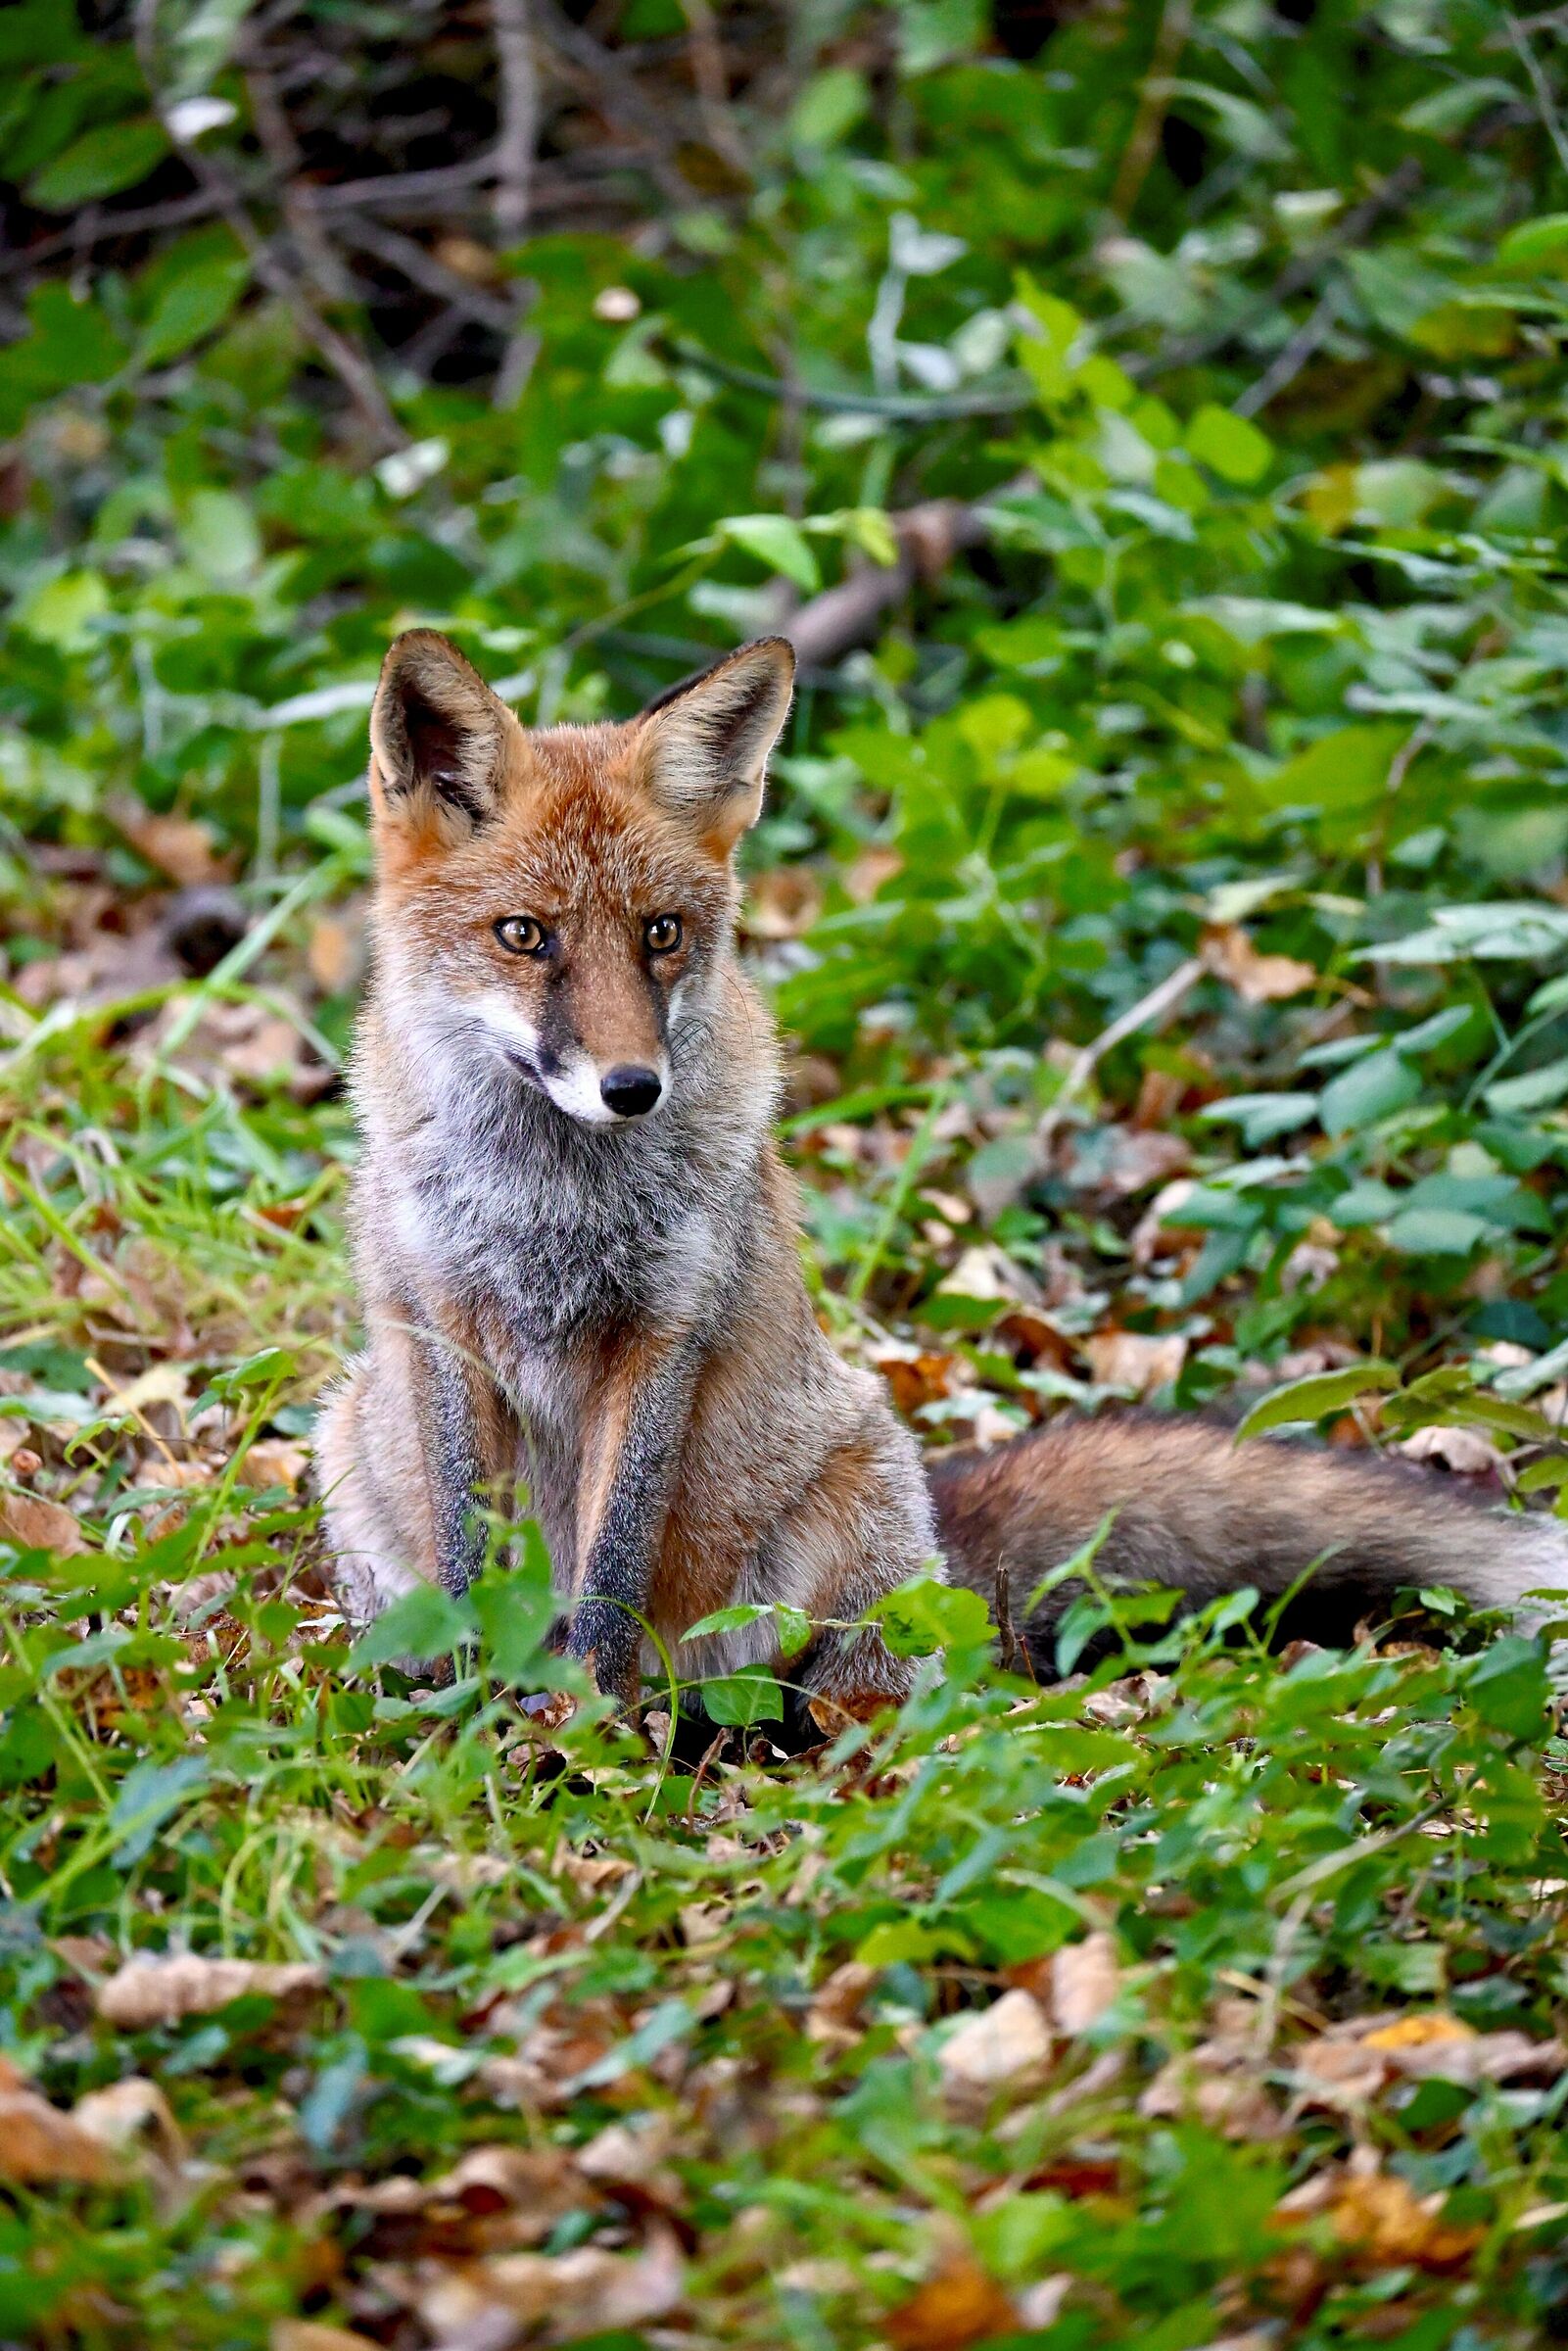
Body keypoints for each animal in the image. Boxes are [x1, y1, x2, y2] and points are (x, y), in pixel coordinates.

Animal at [315, 627, 1568, 1717]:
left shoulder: (664, 1331)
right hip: (345, 1434)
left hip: (847, 1558)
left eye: (660, 934)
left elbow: (611, 1577)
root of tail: (939, 1526)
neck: (549, 1199)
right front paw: (479, 1711)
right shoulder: (440, 1320)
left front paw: (586, 1728)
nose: (632, 1088)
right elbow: (474, 1560)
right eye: (524, 936)